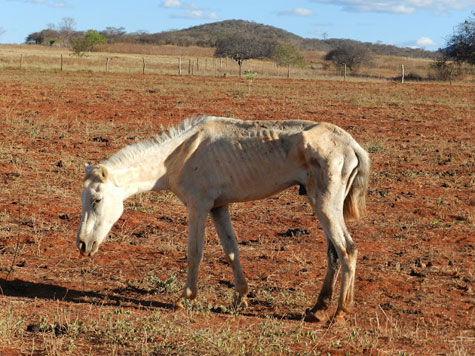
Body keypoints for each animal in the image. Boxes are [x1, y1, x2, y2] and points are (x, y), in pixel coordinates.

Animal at [76, 115, 370, 322]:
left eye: (96, 200)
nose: (82, 244)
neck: (178, 155)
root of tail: (352, 145)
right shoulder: (220, 208)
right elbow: (231, 250)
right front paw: (240, 297)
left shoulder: (199, 206)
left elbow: (195, 252)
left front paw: (186, 297)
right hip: (322, 206)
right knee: (333, 254)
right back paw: (318, 309)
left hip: (325, 206)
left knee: (347, 250)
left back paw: (340, 313)